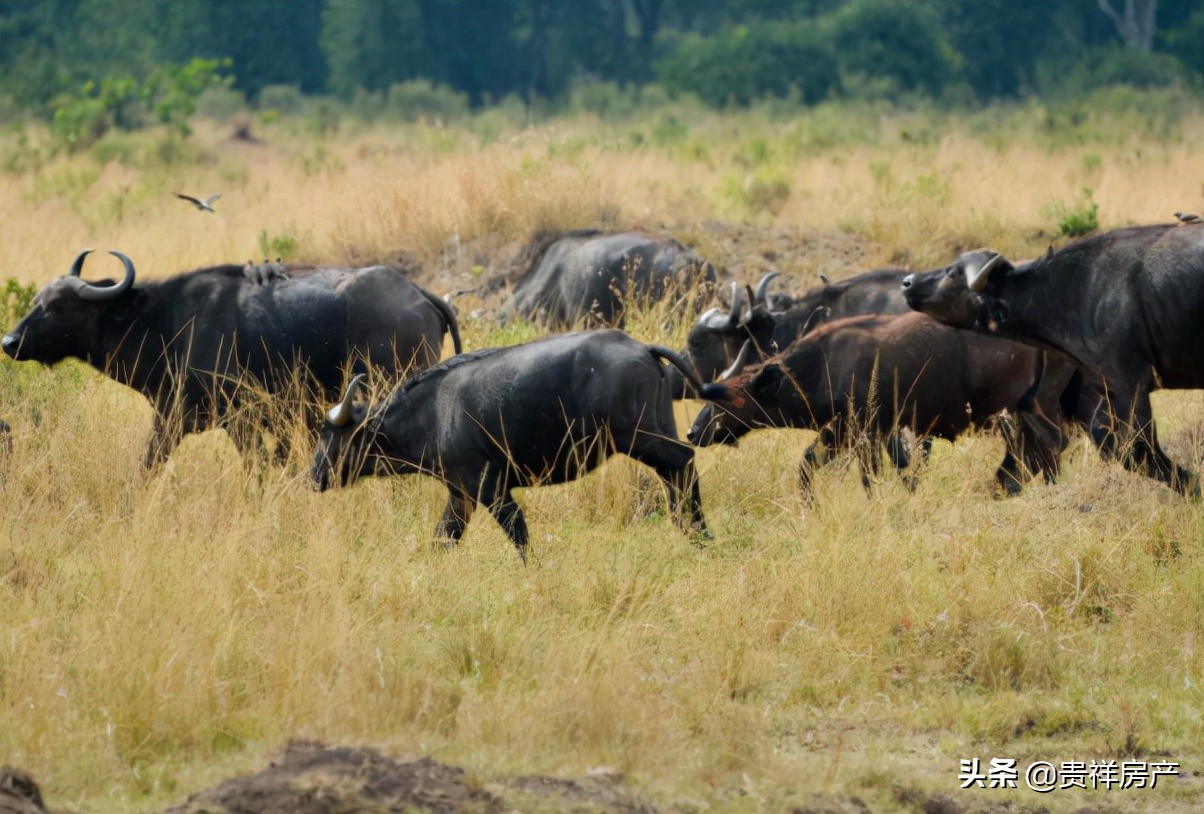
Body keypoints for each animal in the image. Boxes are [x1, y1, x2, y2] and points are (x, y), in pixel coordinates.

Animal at [310, 327, 707, 563]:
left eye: (331, 435)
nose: (313, 476)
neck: (434, 412)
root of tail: (640, 347)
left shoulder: (491, 489)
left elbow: (519, 534)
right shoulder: (460, 496)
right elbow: (443, 538)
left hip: (641, 438)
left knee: (684, 462)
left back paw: (699, 533)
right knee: (675, 474)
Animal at [693, 313, 1069, 496]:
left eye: (726, 401)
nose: (693, 432)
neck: (825, 364)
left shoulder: (864, 434)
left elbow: (869, 478)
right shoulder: (845, 433)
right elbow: (807, 467)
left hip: (1016, 412)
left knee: (1045, 448)